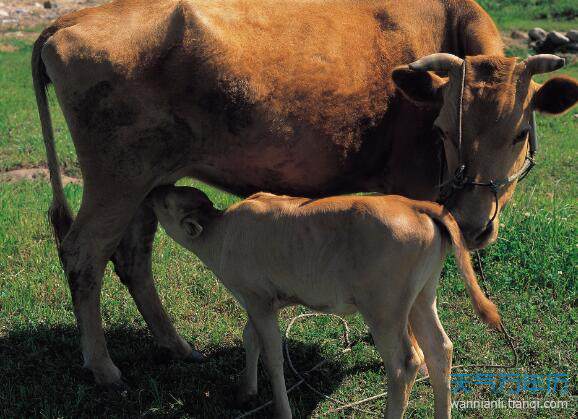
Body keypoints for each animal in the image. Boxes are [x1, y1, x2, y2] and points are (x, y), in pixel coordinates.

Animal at [32, 0, 576, 388]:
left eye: (520, 133)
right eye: (441, 129)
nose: (473, 221)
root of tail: (69, 19)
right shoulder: (410, 184)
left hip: (146, 183)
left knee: (133, 257)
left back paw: (177, 347)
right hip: (115, 181)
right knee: (83, 254)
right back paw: (104, 367)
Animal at [147, 188, 500, 419]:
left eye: (164, 202)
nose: (154, 190)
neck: (221, 232)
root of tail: (414, 204)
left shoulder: (259, 300)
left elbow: (273, 356)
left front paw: (281, 410)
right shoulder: (260, 300)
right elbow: (250, 338)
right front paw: (246, 390)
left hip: (384, 308)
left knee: (404, 363)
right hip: (422, 296)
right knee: (440, 348)